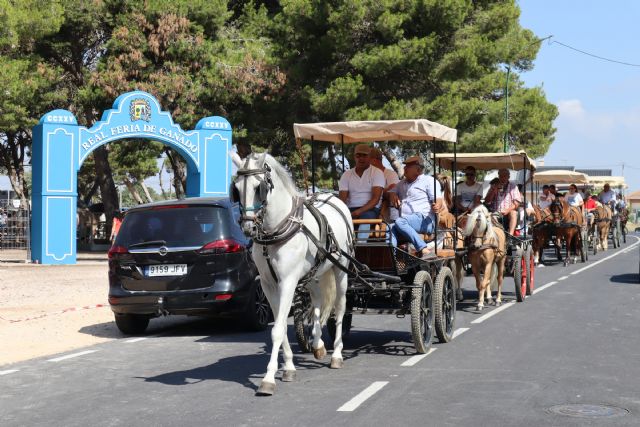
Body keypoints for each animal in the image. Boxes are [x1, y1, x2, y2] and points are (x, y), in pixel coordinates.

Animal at [230, 152, 352, 396]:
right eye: (236, 188)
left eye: (259, 188)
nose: (248, 227)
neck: (274, 232)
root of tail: (333, 197)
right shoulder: (268, 285)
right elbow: (281, 327)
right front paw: (288, 367)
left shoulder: (287, 282)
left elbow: (277, 330)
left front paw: (268, 378)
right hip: (313, 273)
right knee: (317, 302)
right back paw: (318, 344)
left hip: (340, 268)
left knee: (340, 308)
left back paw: (336, 354)